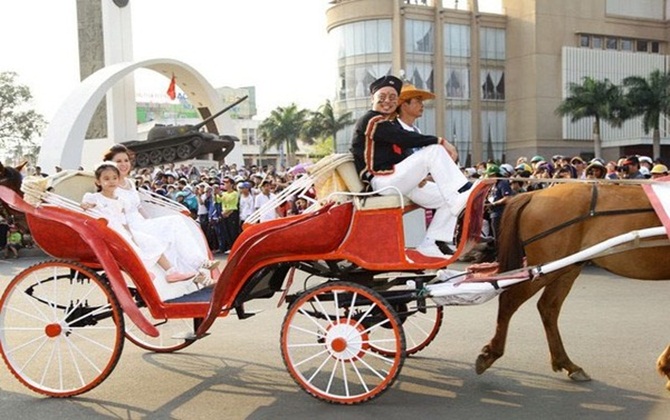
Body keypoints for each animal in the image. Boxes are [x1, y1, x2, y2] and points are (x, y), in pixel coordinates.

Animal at [478, 182, 670, 392]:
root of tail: (535, 193)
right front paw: (667, 368)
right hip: (546, 267)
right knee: (510, 300)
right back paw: (492, 353)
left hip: (567, 267)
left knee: (548, 307)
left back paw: (567, 363)